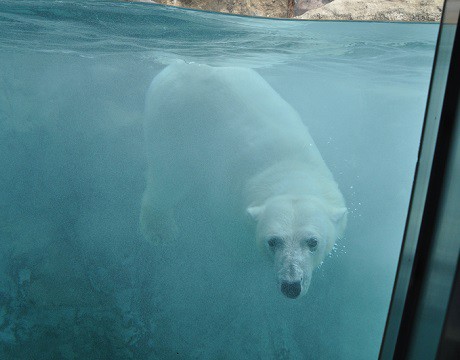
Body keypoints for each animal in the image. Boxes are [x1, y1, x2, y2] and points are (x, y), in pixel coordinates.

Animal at [140, 61, 344, 298]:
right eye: (273, 241)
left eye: (313, 242)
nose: (291, 285)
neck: (290, 170)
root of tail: (178, 65)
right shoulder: (229, 199)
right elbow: (234, 239)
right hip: (173, 122)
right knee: (168, 176)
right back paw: (161, 231)